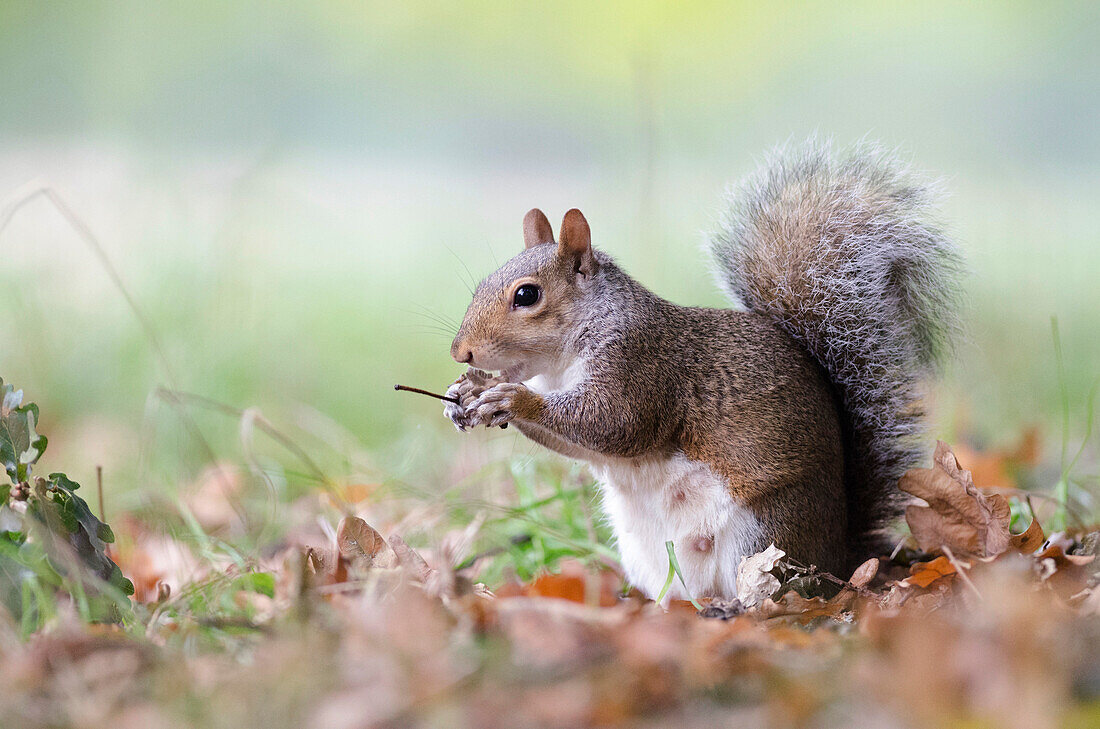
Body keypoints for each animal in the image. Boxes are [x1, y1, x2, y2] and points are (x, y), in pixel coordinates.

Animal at [442, 139, 959, 602]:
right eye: (483, 283)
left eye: (526, 295)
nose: (460, 353)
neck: (560, 365)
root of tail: (842, 555)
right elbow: (580, 442)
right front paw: (470, 392)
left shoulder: (640, 364)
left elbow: (612, 424)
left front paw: (511, 397)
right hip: (646, 552)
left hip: (764, 534)